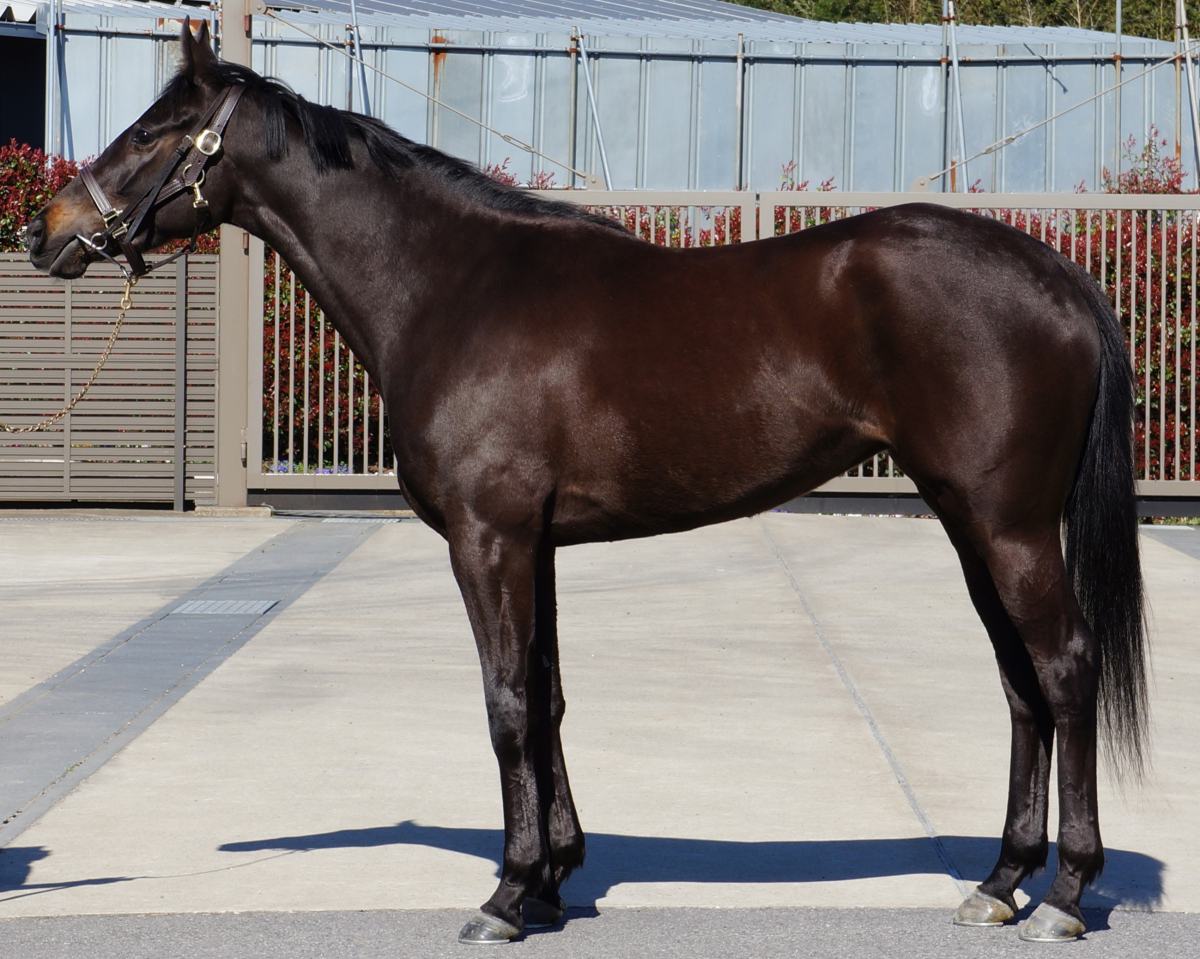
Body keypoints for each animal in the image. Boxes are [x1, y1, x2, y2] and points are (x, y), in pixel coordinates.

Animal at [27, 22, 1148, 944]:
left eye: (154, 128)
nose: (47, 228)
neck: (452, 286)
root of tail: (1057, 275)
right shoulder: (537, 543)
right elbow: (550, 696)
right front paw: (555, 878)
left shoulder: (488, 539)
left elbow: (506, 702)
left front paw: (506, 893)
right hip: (969, 521)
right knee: (1019, 683)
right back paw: (999, 881)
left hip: (1007, 525)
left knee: (1064, 669)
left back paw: (1063, 893)